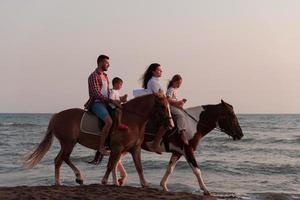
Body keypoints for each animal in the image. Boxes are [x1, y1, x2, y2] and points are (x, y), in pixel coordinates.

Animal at [23, 93, 173, 187]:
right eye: (162, 106)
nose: (171, 125)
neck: (132, 120)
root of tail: (57, 115)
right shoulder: (117, 148)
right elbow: (111, 165)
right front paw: (105, 180)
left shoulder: (135, 149)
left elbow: (139, 167)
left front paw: (144, 183)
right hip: (68, 143)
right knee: (62, 158)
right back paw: (71, 179)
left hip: (67, 143)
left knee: (59, 159)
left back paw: (67, 180)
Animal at [108, 99, 244, 195]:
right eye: (231, 115)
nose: (240, 134)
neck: (193, 124)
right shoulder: (187, 150)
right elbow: (197, 170)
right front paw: (205, 190)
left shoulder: (178, 152)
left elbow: (170, 169)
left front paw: (164, 185)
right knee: (115, 160)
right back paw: (116, 181)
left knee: (116, 160)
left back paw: (118, 180)